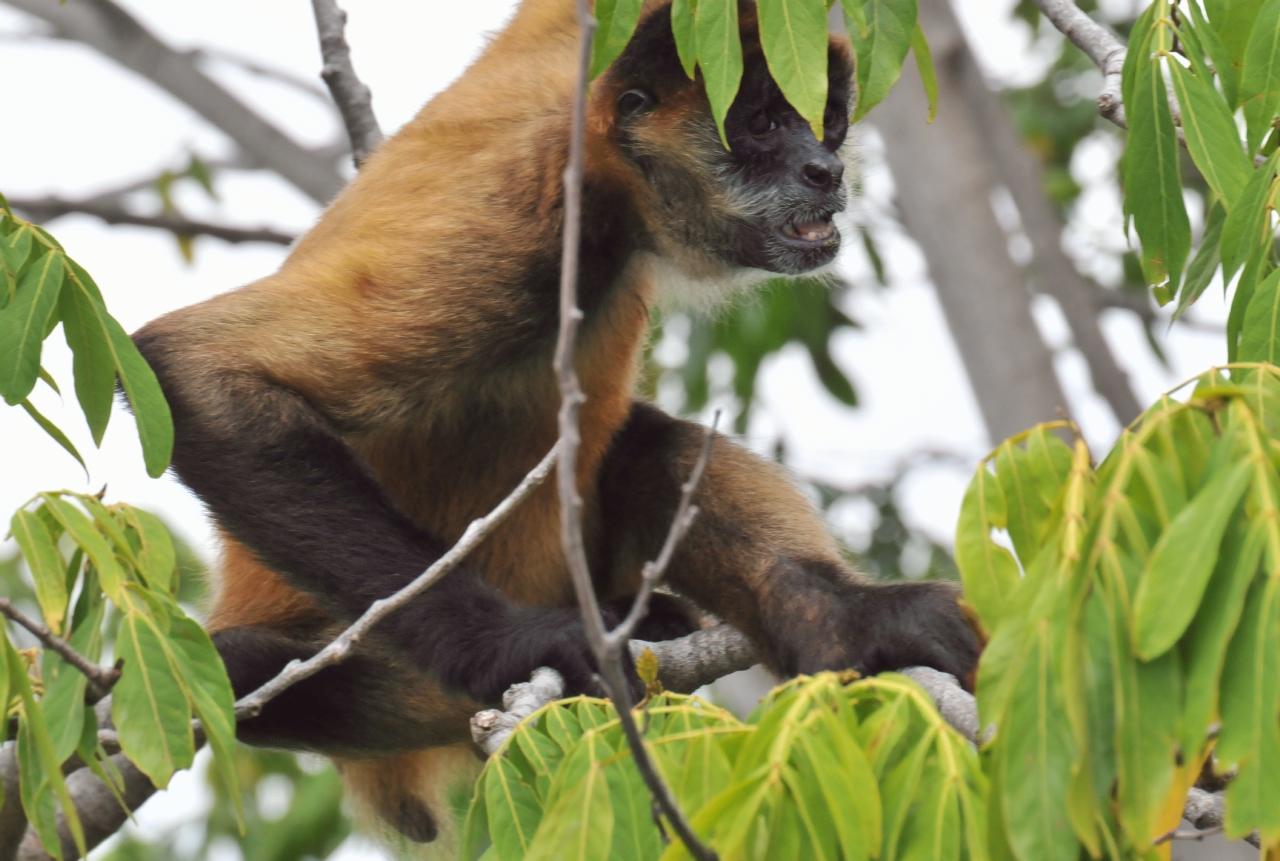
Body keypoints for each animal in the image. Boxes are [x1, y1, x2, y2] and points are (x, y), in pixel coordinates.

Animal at [132, 0, 977, 844]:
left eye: (824, 120)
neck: (606, 177)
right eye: (764, 125)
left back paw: (837, 621)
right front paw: (512, 646)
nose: (827, 170)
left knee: (650, 447)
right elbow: (193, 367)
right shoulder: (515, 223)